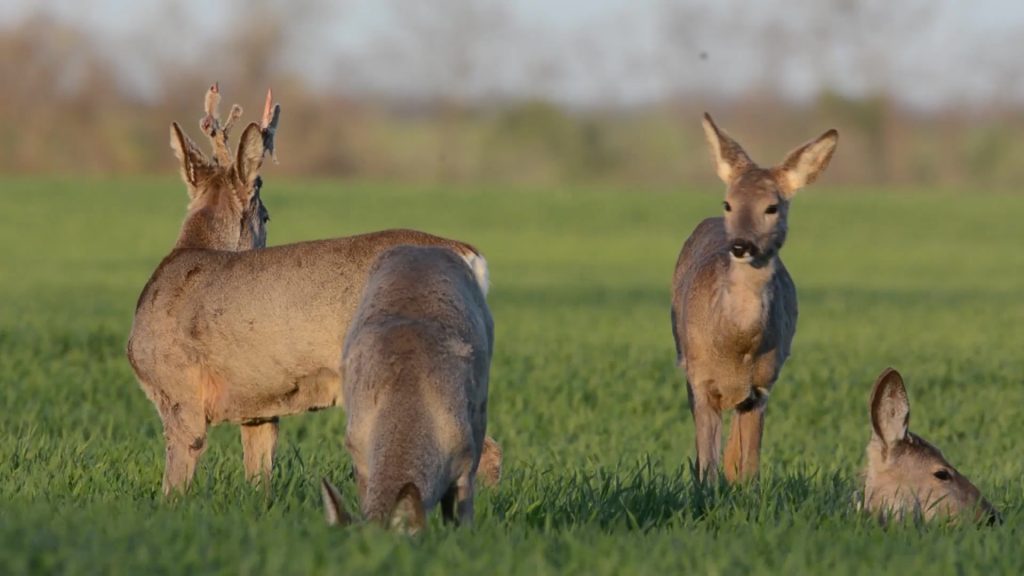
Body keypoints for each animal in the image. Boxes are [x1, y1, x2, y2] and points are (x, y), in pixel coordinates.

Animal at [125, 85, 501, 494]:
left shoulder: (178, 392)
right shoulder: (259, 406)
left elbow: (175, 483)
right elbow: (259, 475)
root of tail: (467, 255)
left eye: (267, 215)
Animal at [671, 114, 839, 481]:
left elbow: (748, 463)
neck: (737, 343)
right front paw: (705, 489)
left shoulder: (762, 385)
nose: (741, 245)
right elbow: (706, 463)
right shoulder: (700, 378)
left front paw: (745, 488)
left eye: (772, 207)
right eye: (728, 203)